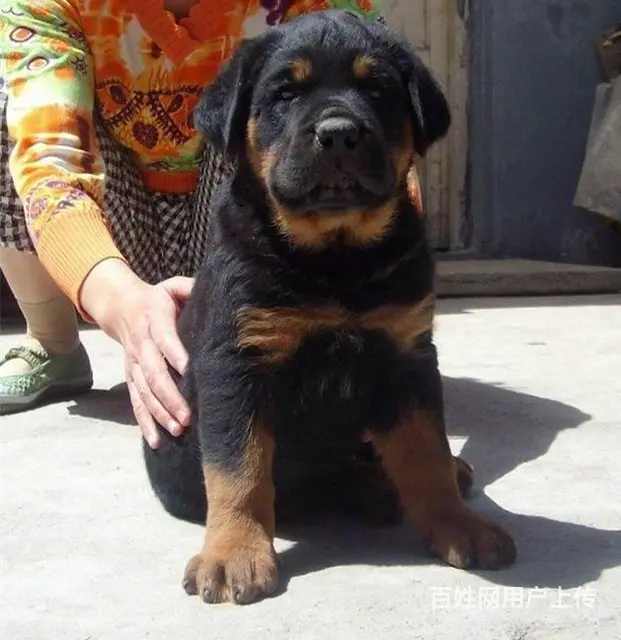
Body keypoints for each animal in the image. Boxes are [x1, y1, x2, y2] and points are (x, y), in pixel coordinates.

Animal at [143, 10, 517, 605]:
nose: (338, 133)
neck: (337, 258)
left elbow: (426, 451)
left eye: (378, 90)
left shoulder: (406, 358)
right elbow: (239, 468)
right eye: (285, 93)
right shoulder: (238, 363)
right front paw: (234, 554)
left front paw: (459, 526)